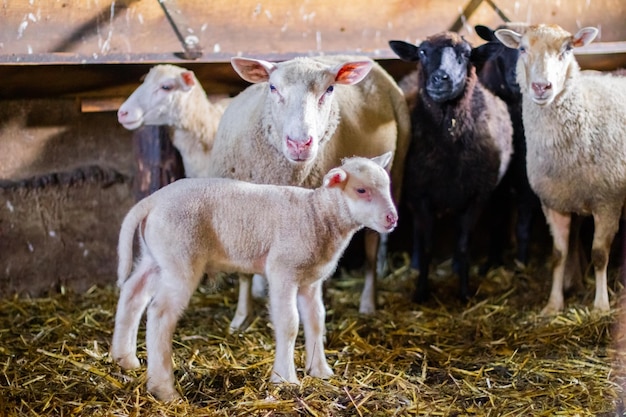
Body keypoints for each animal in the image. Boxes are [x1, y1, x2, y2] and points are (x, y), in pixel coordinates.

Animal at [109, 153, 398, 400]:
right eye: (361, 190)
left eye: (387, 186)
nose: (392, 218)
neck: (316, 215)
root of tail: (152, 201)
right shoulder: (283, 270)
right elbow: (289, 323)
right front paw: (285, 378)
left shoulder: (310, 280)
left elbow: (316, 320)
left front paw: (320, 371)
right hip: (180, 256)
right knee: (160, 313)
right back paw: (164, 390)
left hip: (156, 257)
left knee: (133, 293)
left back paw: (124, 358)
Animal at [390, 30, 512, 300]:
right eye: (422, 52)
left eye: (466, 54)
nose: (440, 79)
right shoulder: (421, 193)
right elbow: (427, 246)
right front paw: (421, 292)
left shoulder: (477, 196)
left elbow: (464, 245)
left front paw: (464, 293)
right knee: (416, 230)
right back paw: (414, 265)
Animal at [494, 23, 626, 312]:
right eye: (522, 49)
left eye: (567, 49)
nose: (541, 86)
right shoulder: (553, 202)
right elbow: (558, 254)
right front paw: (553, 304)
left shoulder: (608, 201)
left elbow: (600, 254)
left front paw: (600, 306)